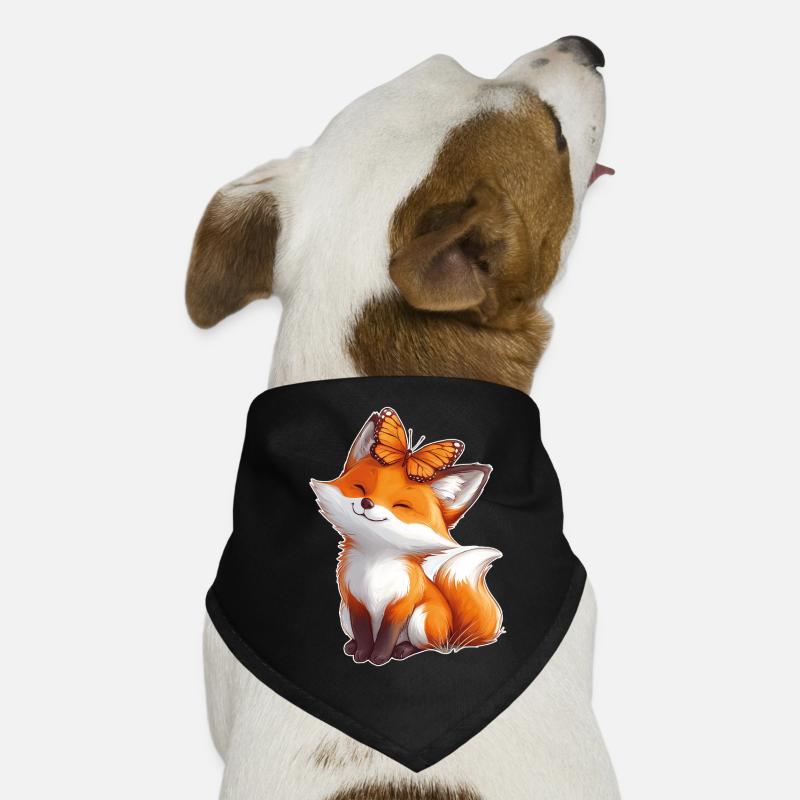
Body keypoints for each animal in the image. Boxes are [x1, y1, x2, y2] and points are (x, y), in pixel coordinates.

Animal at [310, 408, 504, 667]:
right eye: (361, 488)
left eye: (401, 506)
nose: (366, 503)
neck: (374, 568)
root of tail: (452, 633)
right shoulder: (354, 602)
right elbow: (364, 634)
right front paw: (362, 653)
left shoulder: (401, 604)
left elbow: (386, 635)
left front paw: (379, 657)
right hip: (344, 616)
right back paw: (352, 646)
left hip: (421, 620)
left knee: (429, 647)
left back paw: (403, 650)